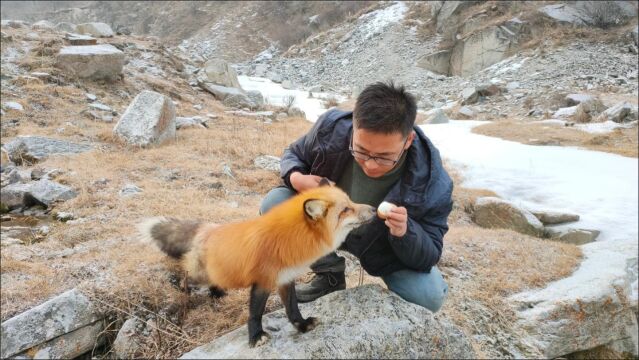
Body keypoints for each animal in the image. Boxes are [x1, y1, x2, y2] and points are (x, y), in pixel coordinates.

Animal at [138, 181, 372, 348]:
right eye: (346, 210)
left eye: (351, 202)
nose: (372, 208)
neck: (290, 239)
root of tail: (208, 228)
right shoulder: (263, 281)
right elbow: (255, 314)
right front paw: (256, 337)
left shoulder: (286, 279)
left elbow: (292, 308)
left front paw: (302, 325)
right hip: (199, 274)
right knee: (185, 277)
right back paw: (181, 292)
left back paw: (217, 293)